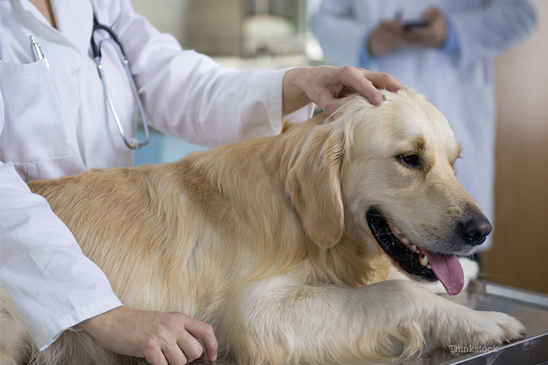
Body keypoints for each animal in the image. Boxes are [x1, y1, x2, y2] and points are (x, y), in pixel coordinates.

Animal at [0, 89, 524, 364]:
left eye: (454, 162)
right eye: (409, 159)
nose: (481, 230)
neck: (299, 215)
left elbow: (403, 280)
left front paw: (468, 276)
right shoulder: (258, 314)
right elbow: (399, 291)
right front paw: (486, 322)